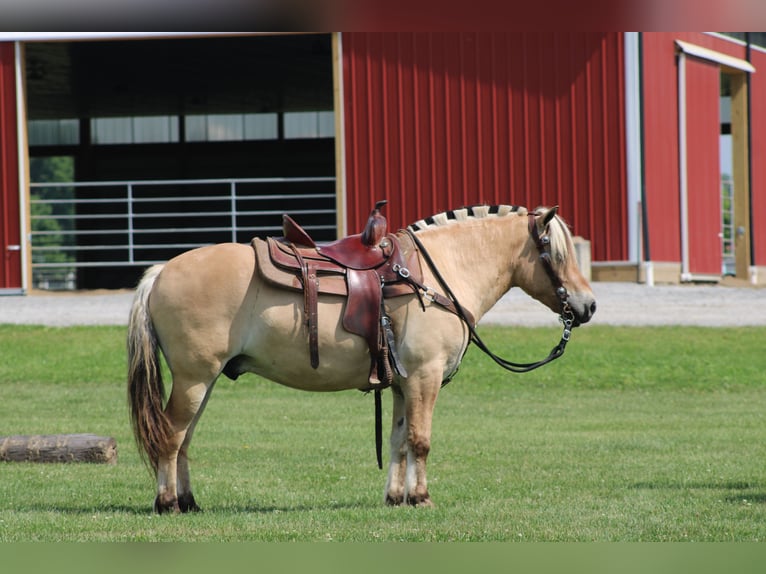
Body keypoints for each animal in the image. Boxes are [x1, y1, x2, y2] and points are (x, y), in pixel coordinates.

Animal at [127, 204, 596, 513]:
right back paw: (167, 503)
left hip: (203, 381)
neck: (438, 274)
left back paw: (188, 501)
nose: (588, 306)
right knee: (171, 437)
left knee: (184, 439)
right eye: (555, 254)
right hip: (194, 378)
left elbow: (400, 441)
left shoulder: (405, 384)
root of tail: (161, 272)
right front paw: (421, 498)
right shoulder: (424, 378)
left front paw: (396, 498)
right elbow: (421, 441)